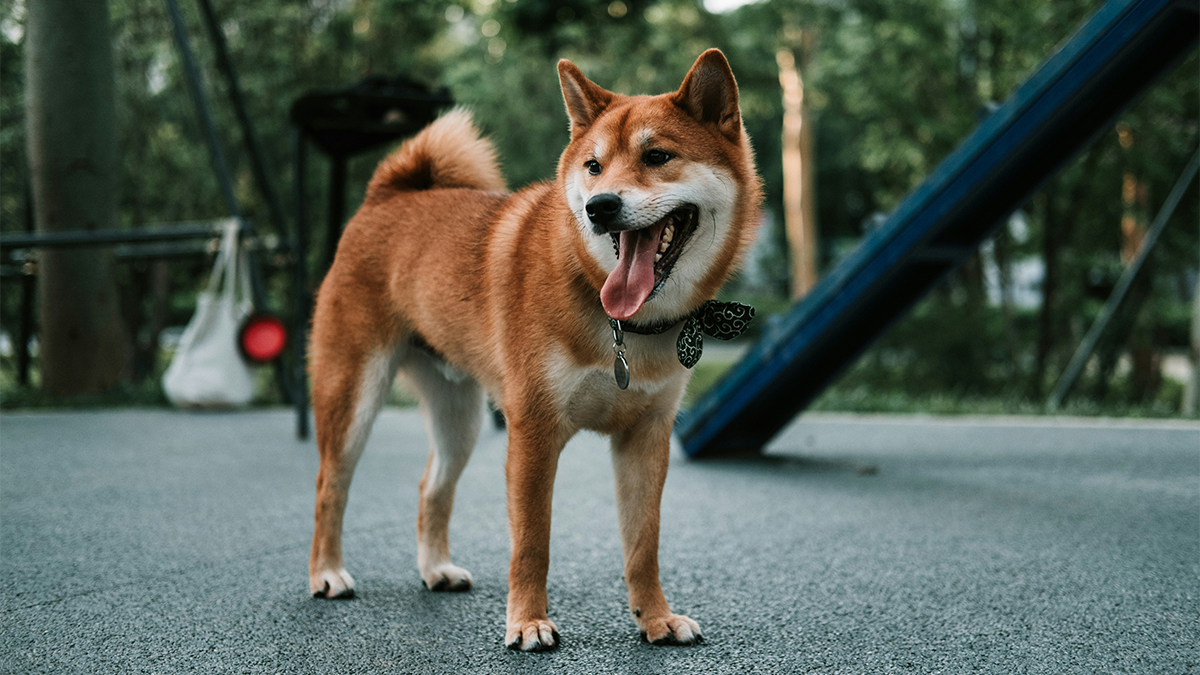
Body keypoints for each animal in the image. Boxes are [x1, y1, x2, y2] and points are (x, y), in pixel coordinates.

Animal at [307, 47, 758, 648]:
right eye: (593, 167)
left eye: (658, 156)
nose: (600, 206)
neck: (621, 324)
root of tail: (388, 198)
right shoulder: (533, 432)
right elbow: (532, 542)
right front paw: (528, 622)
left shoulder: (646, 437)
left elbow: (643, 544)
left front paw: (656, 618)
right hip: (353, 397)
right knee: (330, 485)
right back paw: (327, 574)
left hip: (460, 420)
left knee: (432, 487)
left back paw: (435, 569)